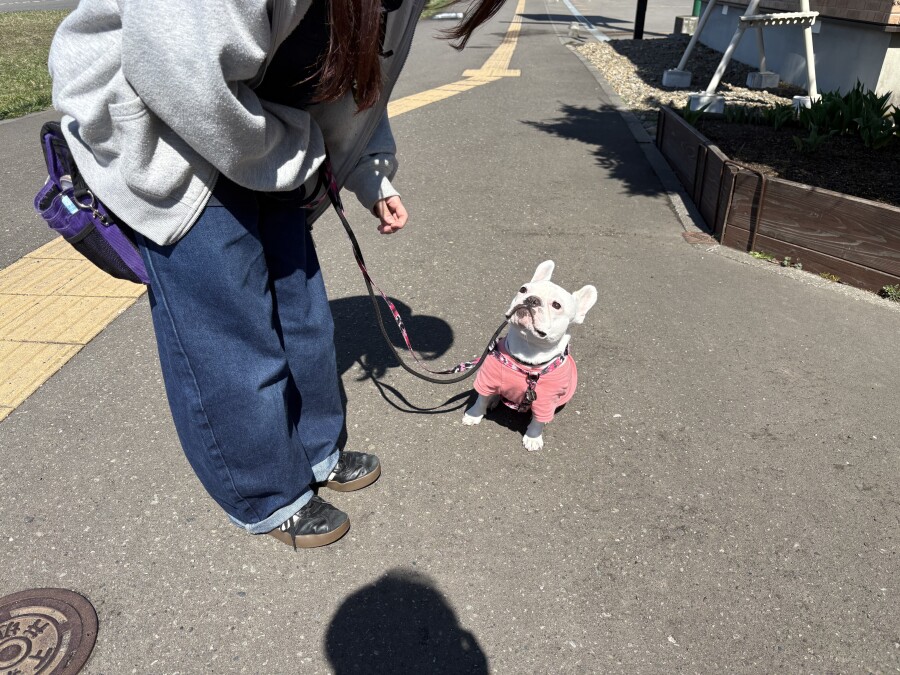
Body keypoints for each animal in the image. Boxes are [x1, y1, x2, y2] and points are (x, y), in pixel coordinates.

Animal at [463, 260, 597, 450]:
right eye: (523, 289)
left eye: (557, 305)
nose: (532, 299)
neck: (527, 351)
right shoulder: (487, 379)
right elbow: (481, 399)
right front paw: (474, 415)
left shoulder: (546, 400)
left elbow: (538, 422)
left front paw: (533, 438)